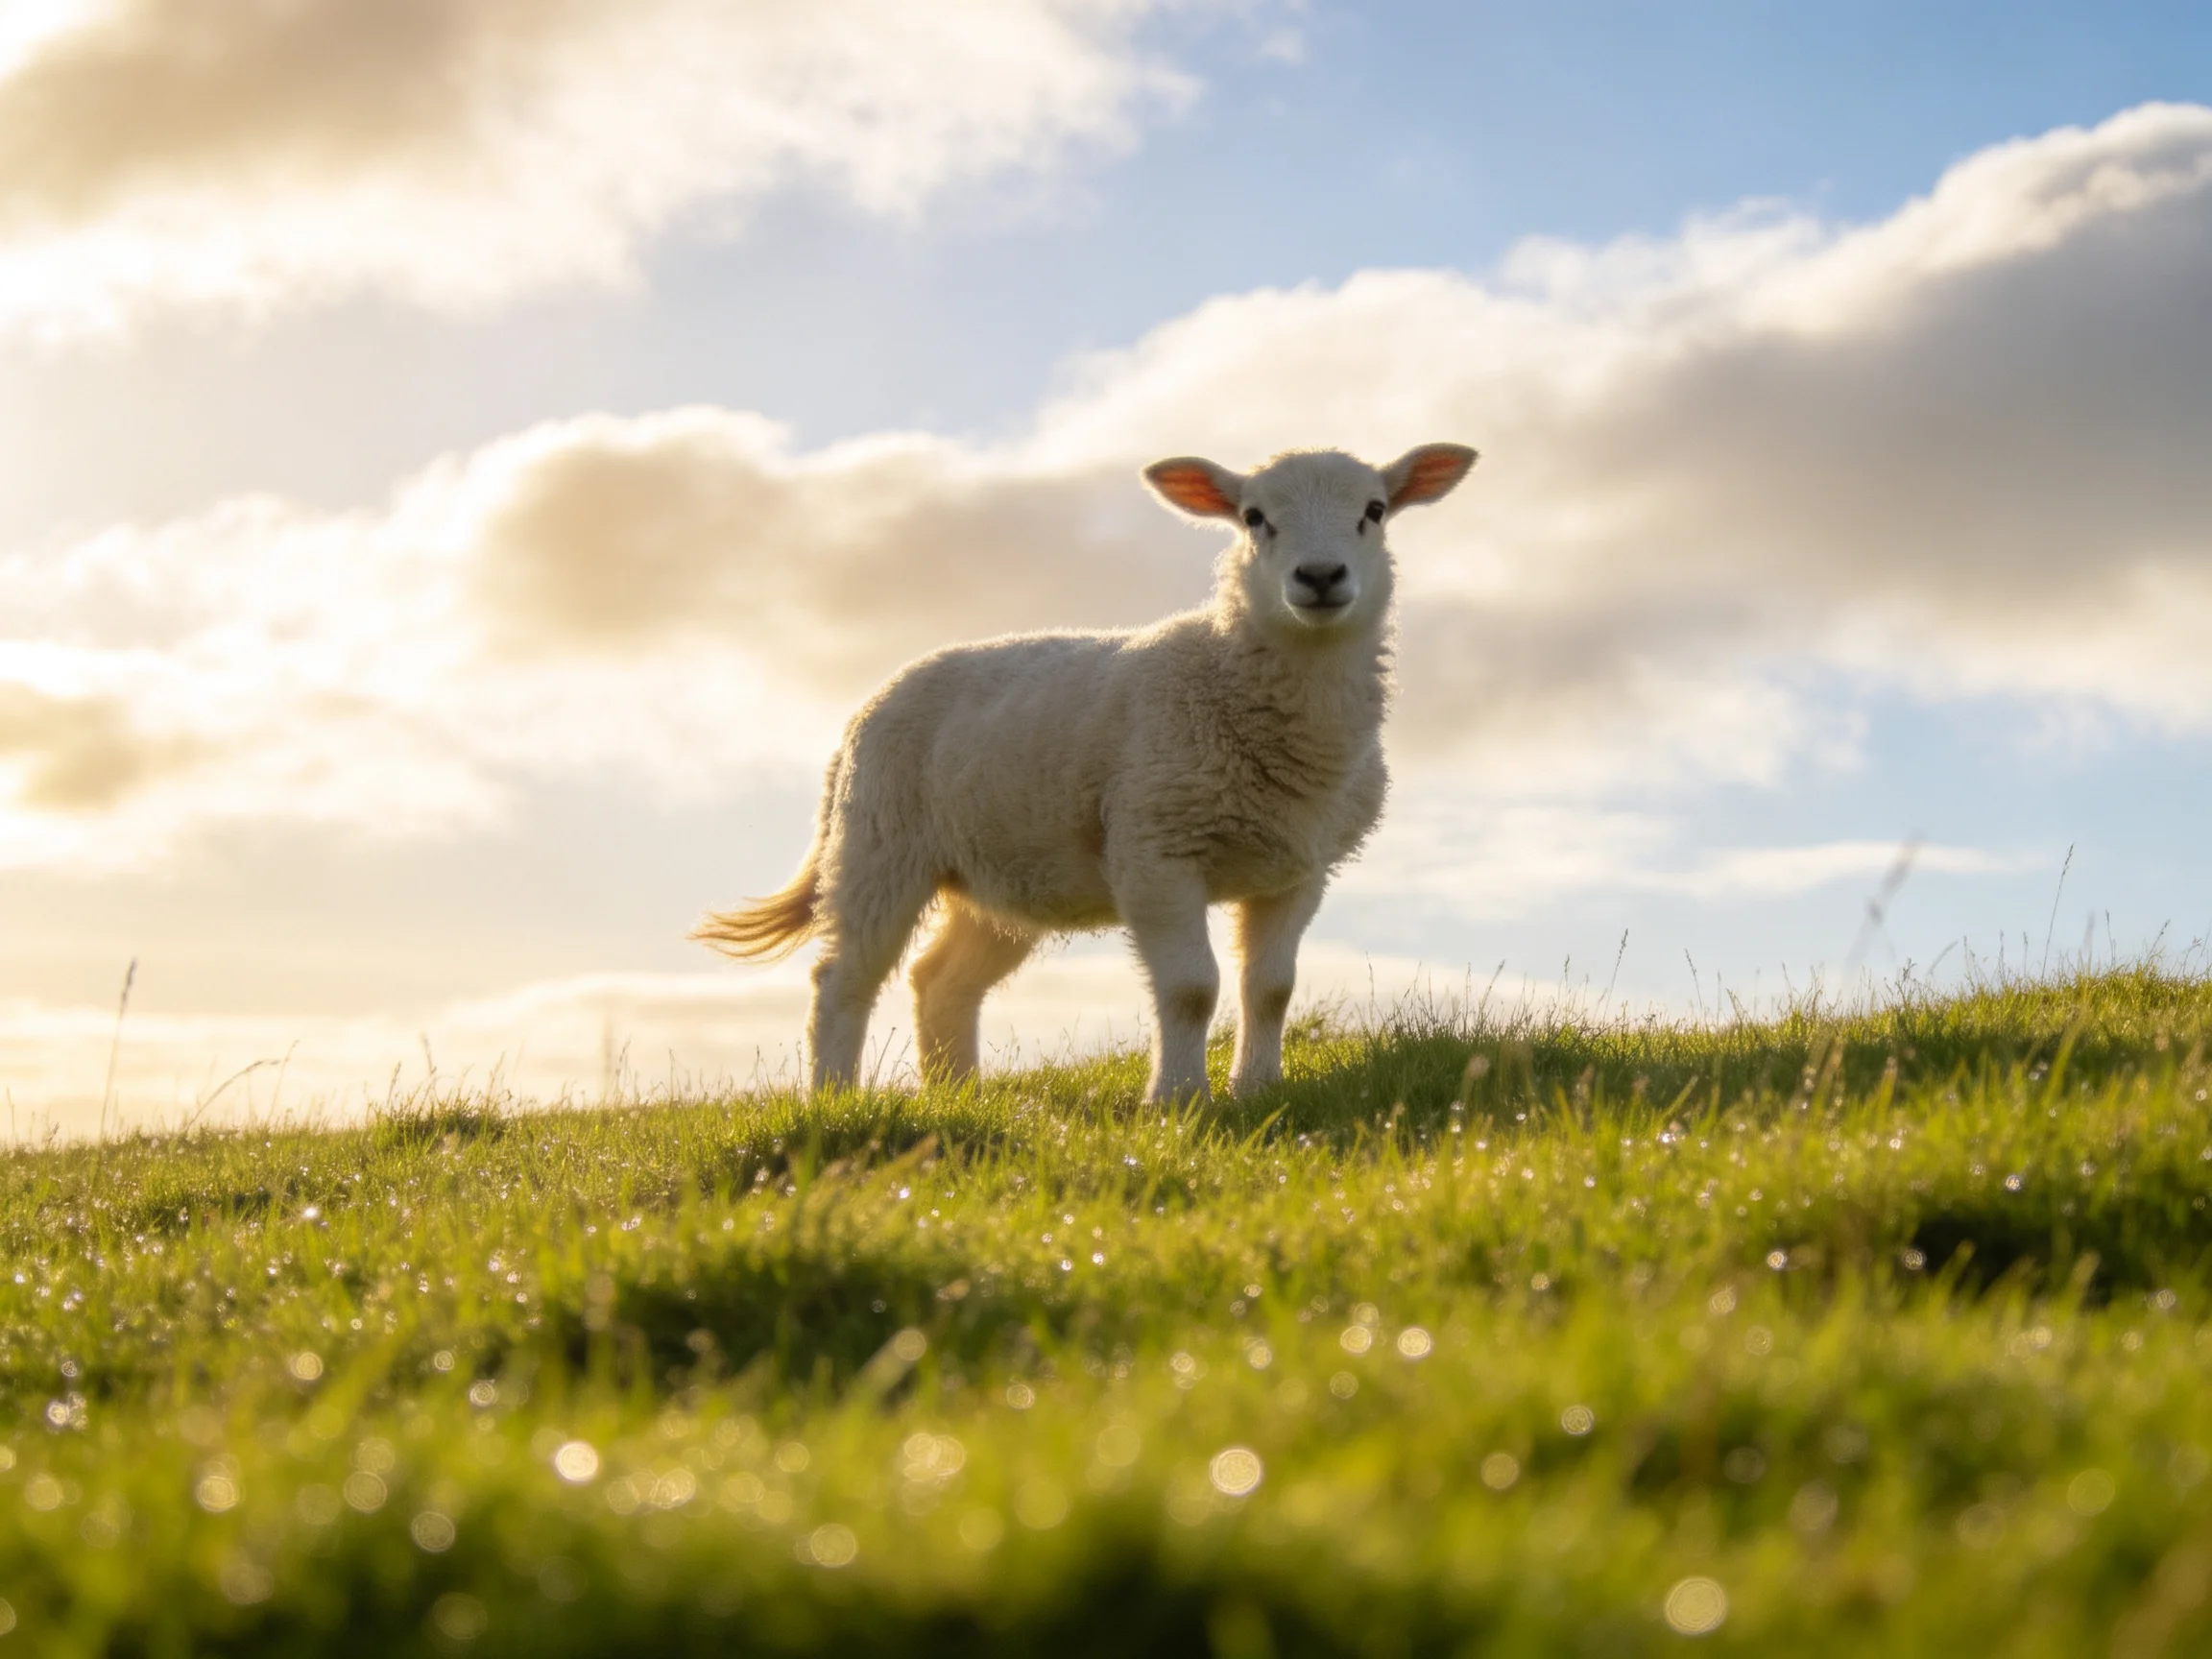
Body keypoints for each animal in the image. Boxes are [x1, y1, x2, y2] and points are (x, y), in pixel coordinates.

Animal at [695, 442, 1478, 1102]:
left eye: (1373, 510)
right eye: (1254, 518)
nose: (1319, 577)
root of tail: (861, 715)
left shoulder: (1298, 869)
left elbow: (1271, 989)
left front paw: (1257, 1090)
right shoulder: (1154, 848)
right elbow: (1192, 988)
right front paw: (1178, 1100)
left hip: (999, 873)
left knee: (939, 980)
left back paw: (959, 1098)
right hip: (880, 844)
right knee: (842, 979)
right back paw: (834, 1100)